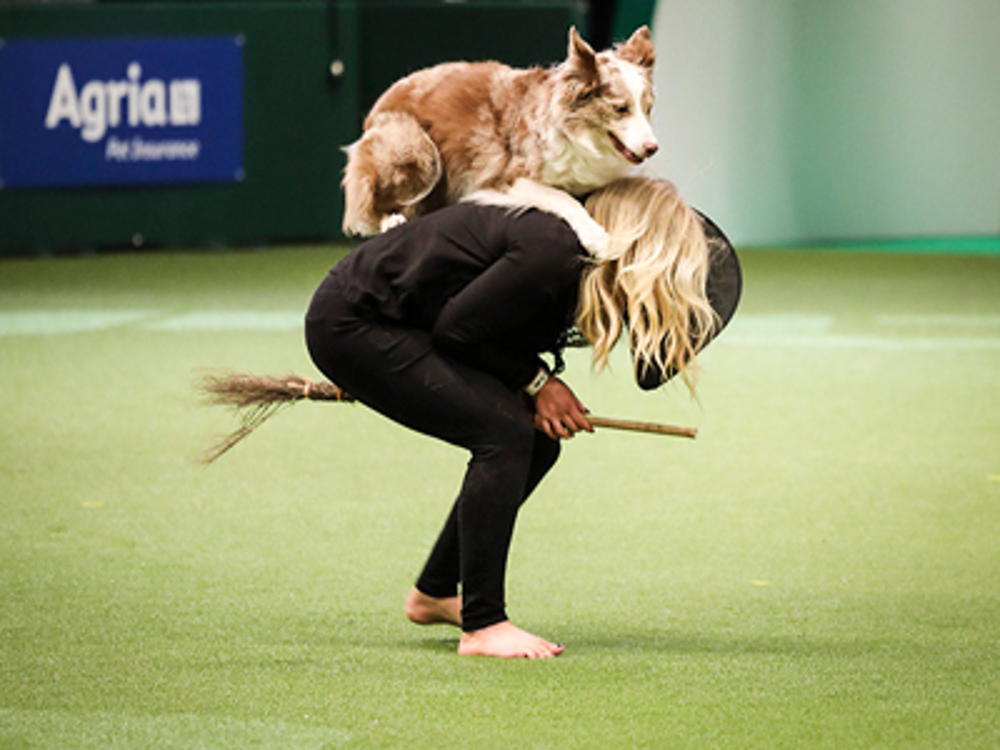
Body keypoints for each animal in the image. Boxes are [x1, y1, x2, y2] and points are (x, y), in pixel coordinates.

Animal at [340, 25, 660, 258]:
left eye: (648, 108)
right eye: (621, 108)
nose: (653, 148)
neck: (578, 135)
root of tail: (377, 107)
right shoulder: (507, 177)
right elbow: (562, 197)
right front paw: (597, 237)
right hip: (419, 152)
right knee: (363, 207)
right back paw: (390, 220)